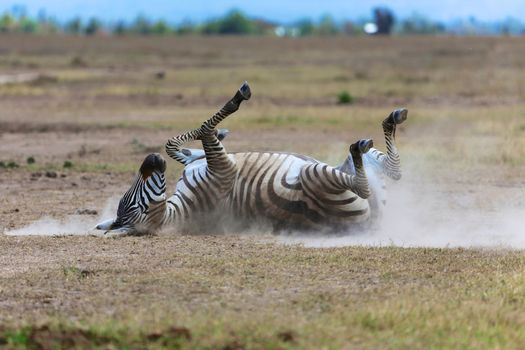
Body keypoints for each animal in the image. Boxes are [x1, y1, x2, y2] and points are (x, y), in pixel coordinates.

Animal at [96, 82, 408, 235]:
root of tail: (368, 225)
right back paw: (373, 136)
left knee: (389, 170)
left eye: (127, 199)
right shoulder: (224, 169)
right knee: (371, 180)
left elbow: (177, 143)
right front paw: (237, 99)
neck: (181, 207)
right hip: (315, 176)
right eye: (136, 204)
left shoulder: (200, 162)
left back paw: (387, 123)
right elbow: (204, 128)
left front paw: (219, 132)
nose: (150, 160)